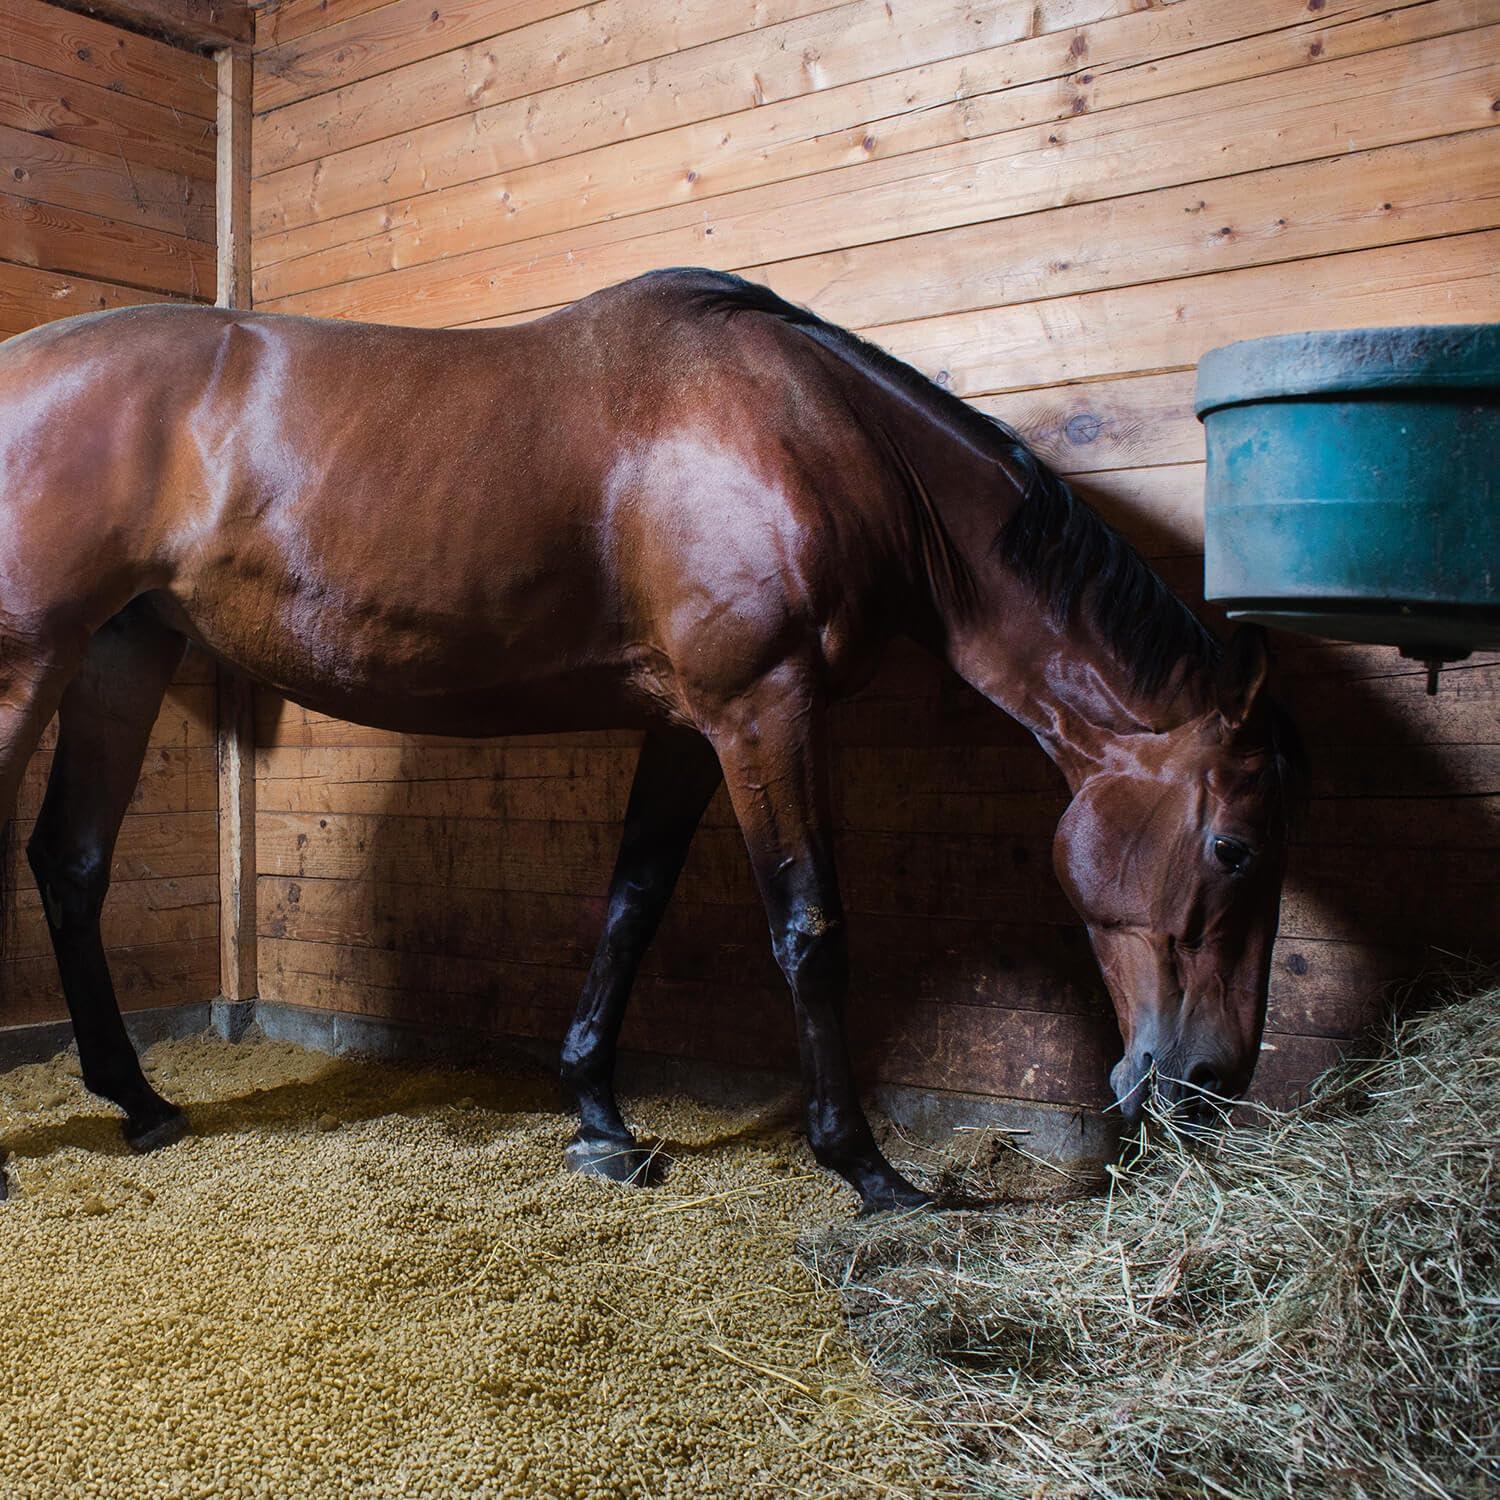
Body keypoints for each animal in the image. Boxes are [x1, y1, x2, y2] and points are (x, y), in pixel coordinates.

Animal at [0, 268, 1301, 1213]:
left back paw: (140, 1101)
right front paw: (868, 1168)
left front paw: (601, 1122)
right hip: (29, 661)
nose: (1211, 1080)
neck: (817, 438)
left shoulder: (688, 728)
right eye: (1235, 850)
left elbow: (633, 902)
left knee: (70, 863)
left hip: (122, 652)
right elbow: (809, 928)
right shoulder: (765, 710)